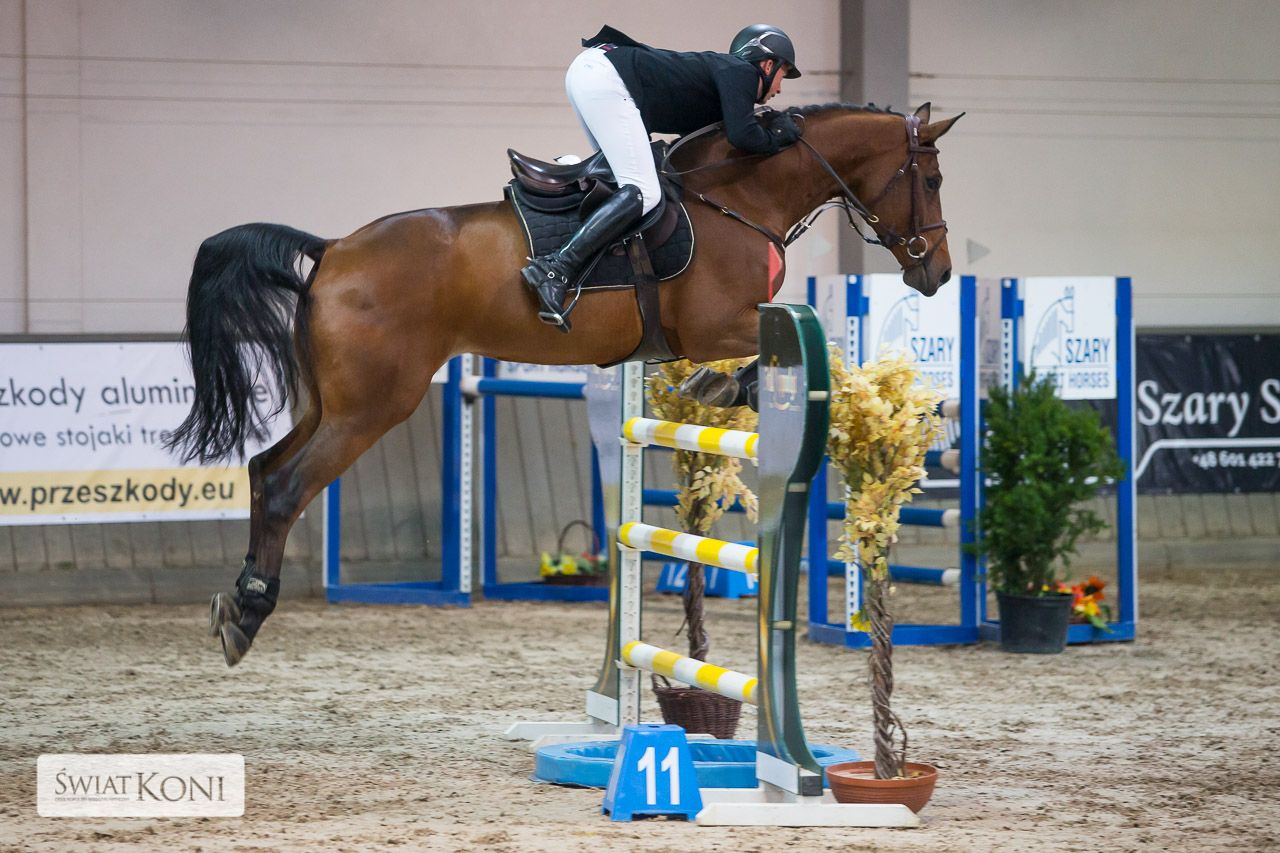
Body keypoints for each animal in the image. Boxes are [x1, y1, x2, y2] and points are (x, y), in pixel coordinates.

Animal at [167, 101, 962, 666]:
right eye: (929, 179)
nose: (937, 272)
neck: (739, 194)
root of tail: (330, 250)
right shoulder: (721, 322)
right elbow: (807, 346)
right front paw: (730, 388)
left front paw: (716, 391)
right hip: (370, 407)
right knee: (285, 484)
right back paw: (246, 613)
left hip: (330, 402)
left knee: (263, 467)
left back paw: (240, 604)